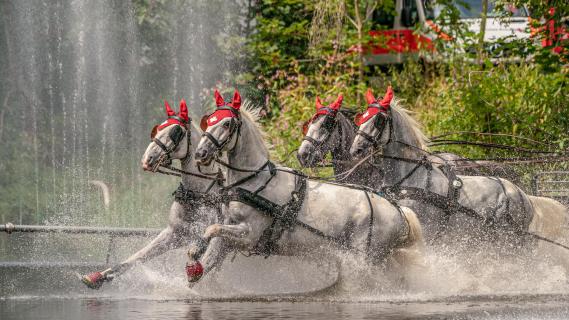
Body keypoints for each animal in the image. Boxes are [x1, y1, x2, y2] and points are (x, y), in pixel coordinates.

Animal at [81, 100, 221, 290]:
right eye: (157, 129)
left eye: (175, 132)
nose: (147, 159)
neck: (197, 194)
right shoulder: (175, 234)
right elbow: (137, 257)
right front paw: (99, 277)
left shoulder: (209, 237)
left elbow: (199, 263)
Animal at [187, 90, 426, 284]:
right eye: (209, 121)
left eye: (226, 124)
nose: (200, 153)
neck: (253, 181)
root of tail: (399, 210)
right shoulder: (229, 230)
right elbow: (209, 251)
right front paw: (194, 265)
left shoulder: (249, 235)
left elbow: (211, 230)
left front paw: (193, 260)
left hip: (365, 257)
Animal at [348, 87, 564, 255]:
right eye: (362, 118)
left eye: (378, 120)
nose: (355, 150)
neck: (412, 178)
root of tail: (524, 196)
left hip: (512, 240)